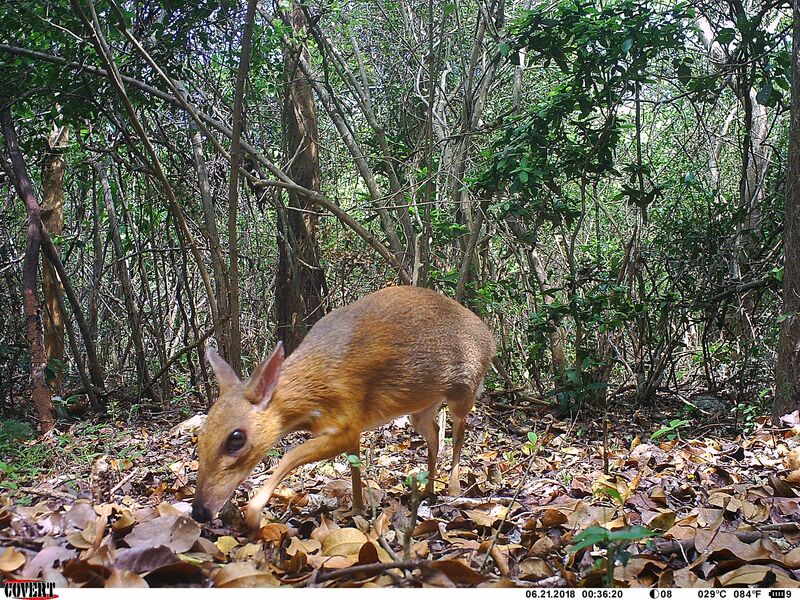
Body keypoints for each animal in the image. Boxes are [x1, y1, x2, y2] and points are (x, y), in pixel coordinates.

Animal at [191, 285, 495, 530]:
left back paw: (453, 489)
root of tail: (489, 337)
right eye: (200, 435)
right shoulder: (353, 427)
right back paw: (428, 489)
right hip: (421, 406)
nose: (199, 511)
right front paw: (356, 508)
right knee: (433, 434)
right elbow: (353, 464)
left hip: (464, 389)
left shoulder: (347, 419)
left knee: (458, 433)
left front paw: (254, 514)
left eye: (236, 438)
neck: (314, 387)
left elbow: (291, 455)